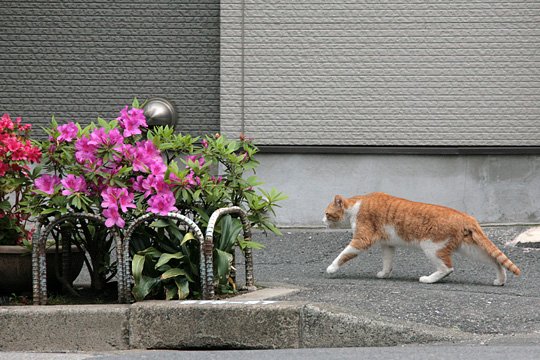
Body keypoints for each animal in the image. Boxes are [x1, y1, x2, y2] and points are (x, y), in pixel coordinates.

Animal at [322, 193, 520, 286]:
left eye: (326, 213)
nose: (322, 220)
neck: (356, 206)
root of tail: (466, 217)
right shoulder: (388, 244)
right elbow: (387, 262)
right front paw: (384, 274)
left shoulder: (362, 239)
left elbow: (343, 254)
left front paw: (331, 268)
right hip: (470, 248)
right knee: (495, 260)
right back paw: (500, 279)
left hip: (432, 247)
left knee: (447, 268)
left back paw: (429, 279)